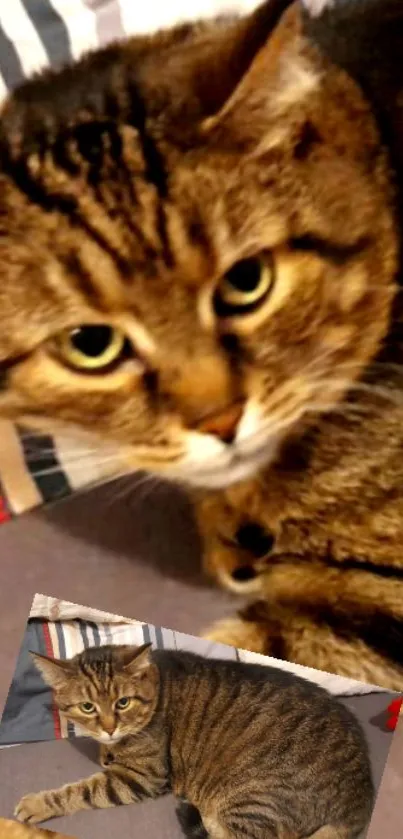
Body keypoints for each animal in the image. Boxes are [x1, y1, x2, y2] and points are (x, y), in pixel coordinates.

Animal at [15, 648, 376, 836]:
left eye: (123, 703)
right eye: (88, 707)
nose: (109, 728)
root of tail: (361, 796)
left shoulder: (142, 778)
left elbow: (80, 791)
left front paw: (37, 804)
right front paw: (106, 751)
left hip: (255, 797)